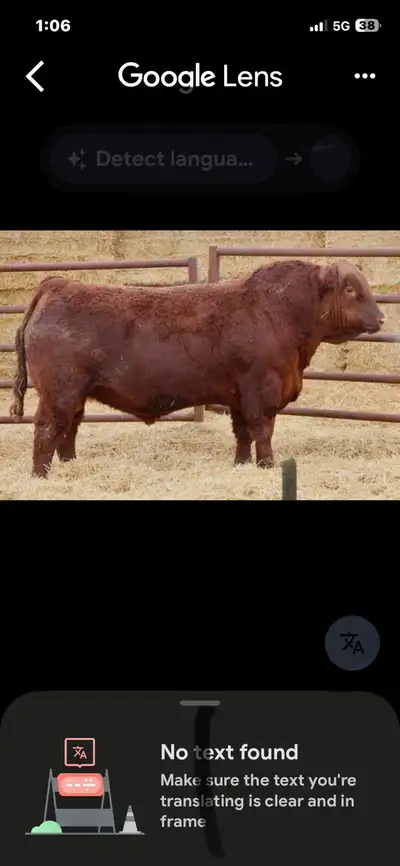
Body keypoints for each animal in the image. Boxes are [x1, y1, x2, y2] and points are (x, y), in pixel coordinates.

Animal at [9, 259, 384, 478]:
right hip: (59, 391)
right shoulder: (262, 391)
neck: (280, 312)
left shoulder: (238, 395)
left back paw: (71, 465)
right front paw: (267, 466)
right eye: (351, 289)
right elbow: (263, 430)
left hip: (76, 393)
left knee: (69, 428)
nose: (381, 318)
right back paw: (41, 475)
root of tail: (59, 284)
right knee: (48, 428)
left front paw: (241, 465)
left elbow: (243, 433)